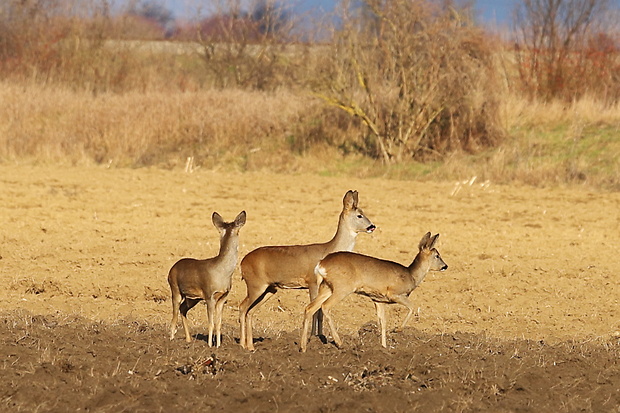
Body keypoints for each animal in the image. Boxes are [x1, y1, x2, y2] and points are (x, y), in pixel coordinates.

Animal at [170, 211, 249, 346]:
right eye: (238, 231)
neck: (222, 273)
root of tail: (172, 268)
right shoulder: (209, 294)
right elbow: (211, 323)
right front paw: (209, 345)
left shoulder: (223, 297)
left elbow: (218, 323)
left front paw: (218, 345)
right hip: (175, 289)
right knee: (174, 315)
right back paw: (171, 339)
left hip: (192, 298)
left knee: (183, 309)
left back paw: (188, 339)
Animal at [237, 189, 372, 348]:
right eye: (359, 215)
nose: (372, 226)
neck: (328, 250)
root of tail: (242, 262)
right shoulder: (312, 282)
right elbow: (315, 311)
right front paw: (313, 337)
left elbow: (319, 311)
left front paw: (320, 337)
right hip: (255, 285)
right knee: (242, 307)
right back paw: (242, 345)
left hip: (269, 289)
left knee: (250, 311)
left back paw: (250, 346)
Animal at [300, 230, 446, 350]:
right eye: (437, 255)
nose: (445, 266)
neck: (410, 275)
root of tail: (321, 264)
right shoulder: (395, 294)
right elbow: (412, 307)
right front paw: (397, 329)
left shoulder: (378, 299)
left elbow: (383, 322)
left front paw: (384, 347)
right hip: (342, 287)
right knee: (325, 306)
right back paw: (339, 343)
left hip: (326, 287)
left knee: (310, 308)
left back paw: (303, 347)